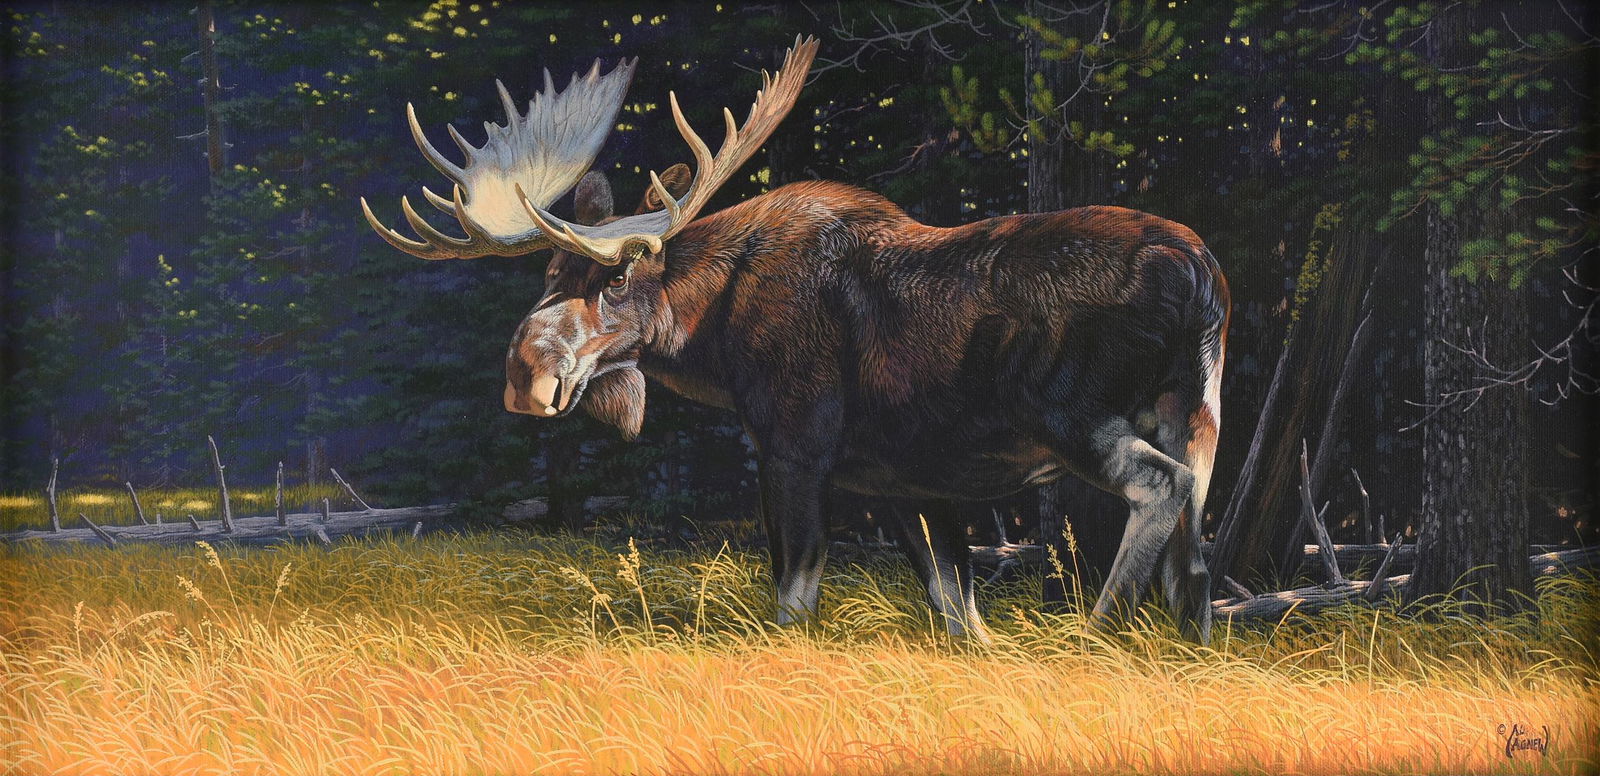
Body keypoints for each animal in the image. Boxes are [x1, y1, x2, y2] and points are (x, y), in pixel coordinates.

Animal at [361, 37, 1229, 643]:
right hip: (1196, 409)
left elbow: (793, 599)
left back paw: (1094, 635)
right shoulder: (902, 481)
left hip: (1072, 414)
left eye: (618, 275)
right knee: (1196, 548)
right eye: (547, 272)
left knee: (1162, 491)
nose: (526, 372)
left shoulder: (795, 446)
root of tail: (1200, 272)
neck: (711, 340)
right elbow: (959, 614)